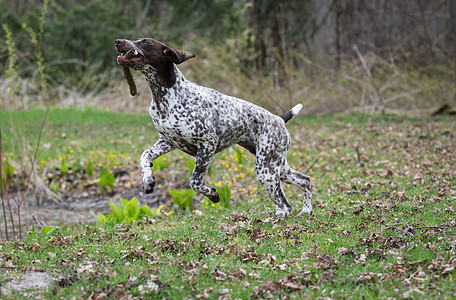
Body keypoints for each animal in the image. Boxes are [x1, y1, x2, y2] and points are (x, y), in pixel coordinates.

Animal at [116, 38, 312, 218]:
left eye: (145, 42)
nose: (118, 41)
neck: (166, 95)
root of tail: (279, 119)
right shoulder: (168, 142)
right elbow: (144, 155)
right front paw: (147, 180)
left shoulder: (207, 144)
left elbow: (194, 181)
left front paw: (213, 195)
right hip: (277, 167)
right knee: (305, 180)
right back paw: (306, 210)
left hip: (266, 169)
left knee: (285, 205)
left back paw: (276, 219)